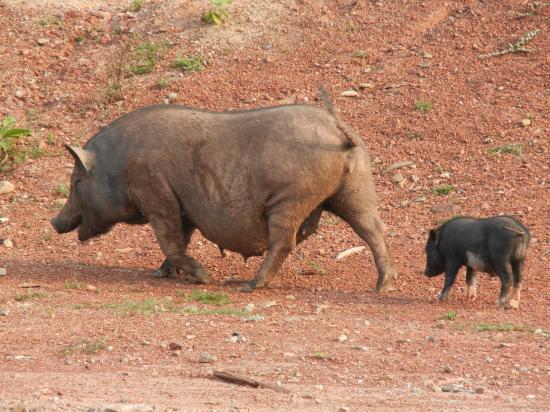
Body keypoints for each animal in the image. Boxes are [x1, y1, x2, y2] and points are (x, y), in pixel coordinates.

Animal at [50, 90, 396, 292]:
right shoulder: (182, 205)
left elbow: (170, 239)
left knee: (284, 242)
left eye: (76, 182)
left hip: (291, 198)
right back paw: (382, 286)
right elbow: (181, 238)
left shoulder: (156, 195)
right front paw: (160, 274)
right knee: (373, 229)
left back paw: (250, 285)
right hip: (356, 188)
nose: (54, 221)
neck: (117, 166)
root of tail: (336, 126)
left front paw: (202, 277)